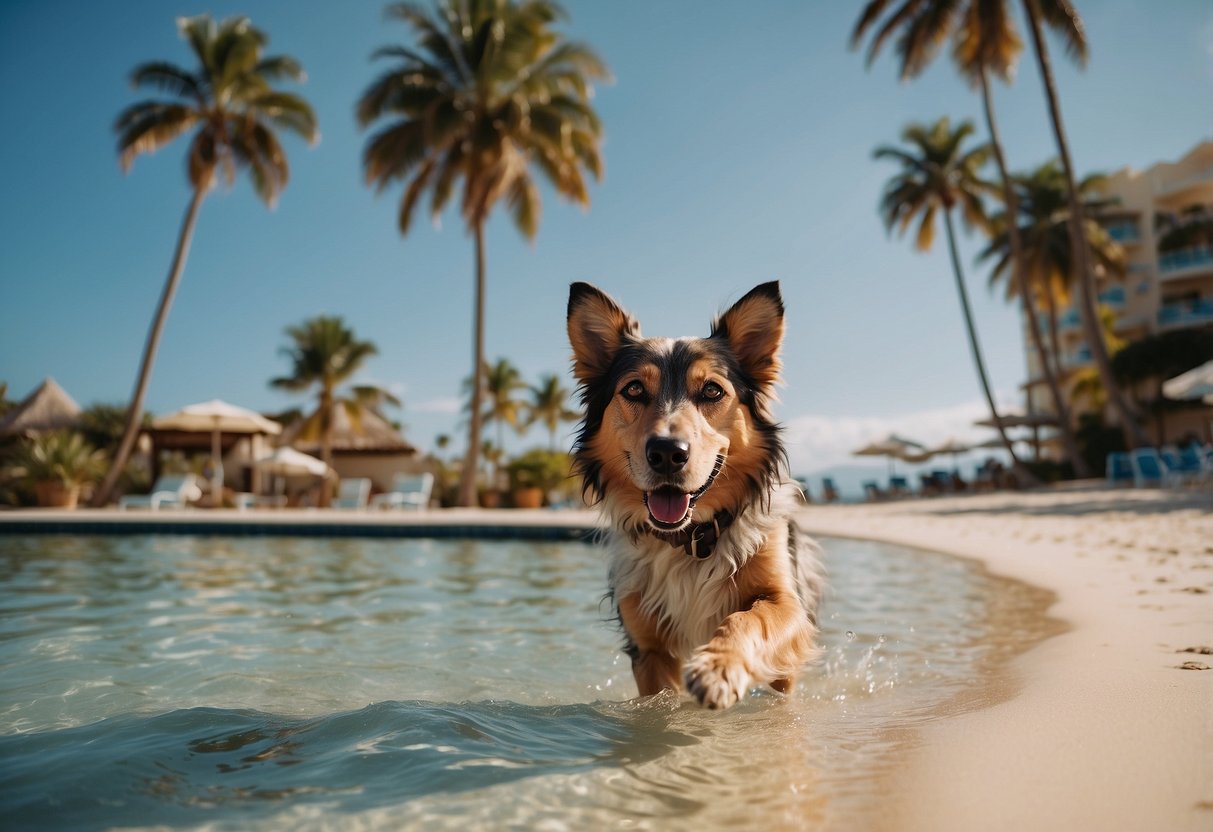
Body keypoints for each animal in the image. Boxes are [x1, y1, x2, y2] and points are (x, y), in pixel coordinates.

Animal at [567, 281, 824, 708]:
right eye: (634, 389)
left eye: (711, 391)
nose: (667, 452)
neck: (690, 540)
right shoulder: (647, 647)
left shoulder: (787, 602)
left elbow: (749, 617)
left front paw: (718, 667)